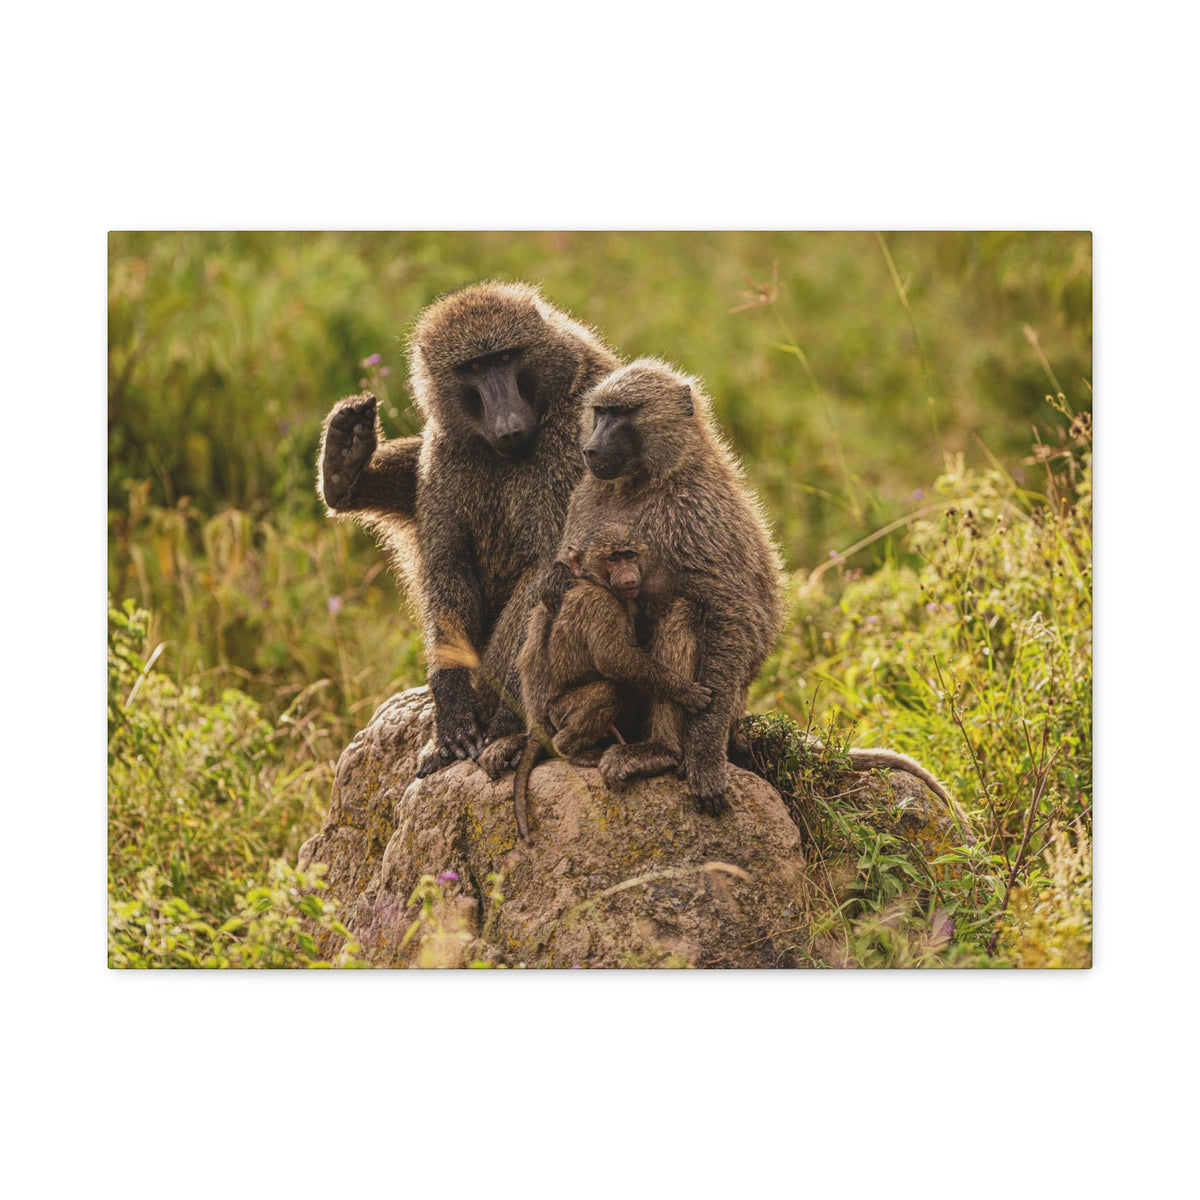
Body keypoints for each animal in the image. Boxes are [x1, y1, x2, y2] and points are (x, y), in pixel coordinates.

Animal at [315, 281, 621, 778]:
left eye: (506, 358)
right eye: (474, 367)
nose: (509, 425)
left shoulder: (573, 444)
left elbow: (547, 573)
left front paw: (500, 726)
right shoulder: (449, 449)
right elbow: (447, 563)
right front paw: (454, 713)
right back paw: (344, 470)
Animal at [486, 525, 712, 843]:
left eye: (629, 555)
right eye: (613, 558)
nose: (629, 575)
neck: (598, 582)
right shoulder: (600, 604)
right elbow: (614, 659)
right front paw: (684, 690)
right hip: (560, 711)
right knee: (606, 691)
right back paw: (570, 751)